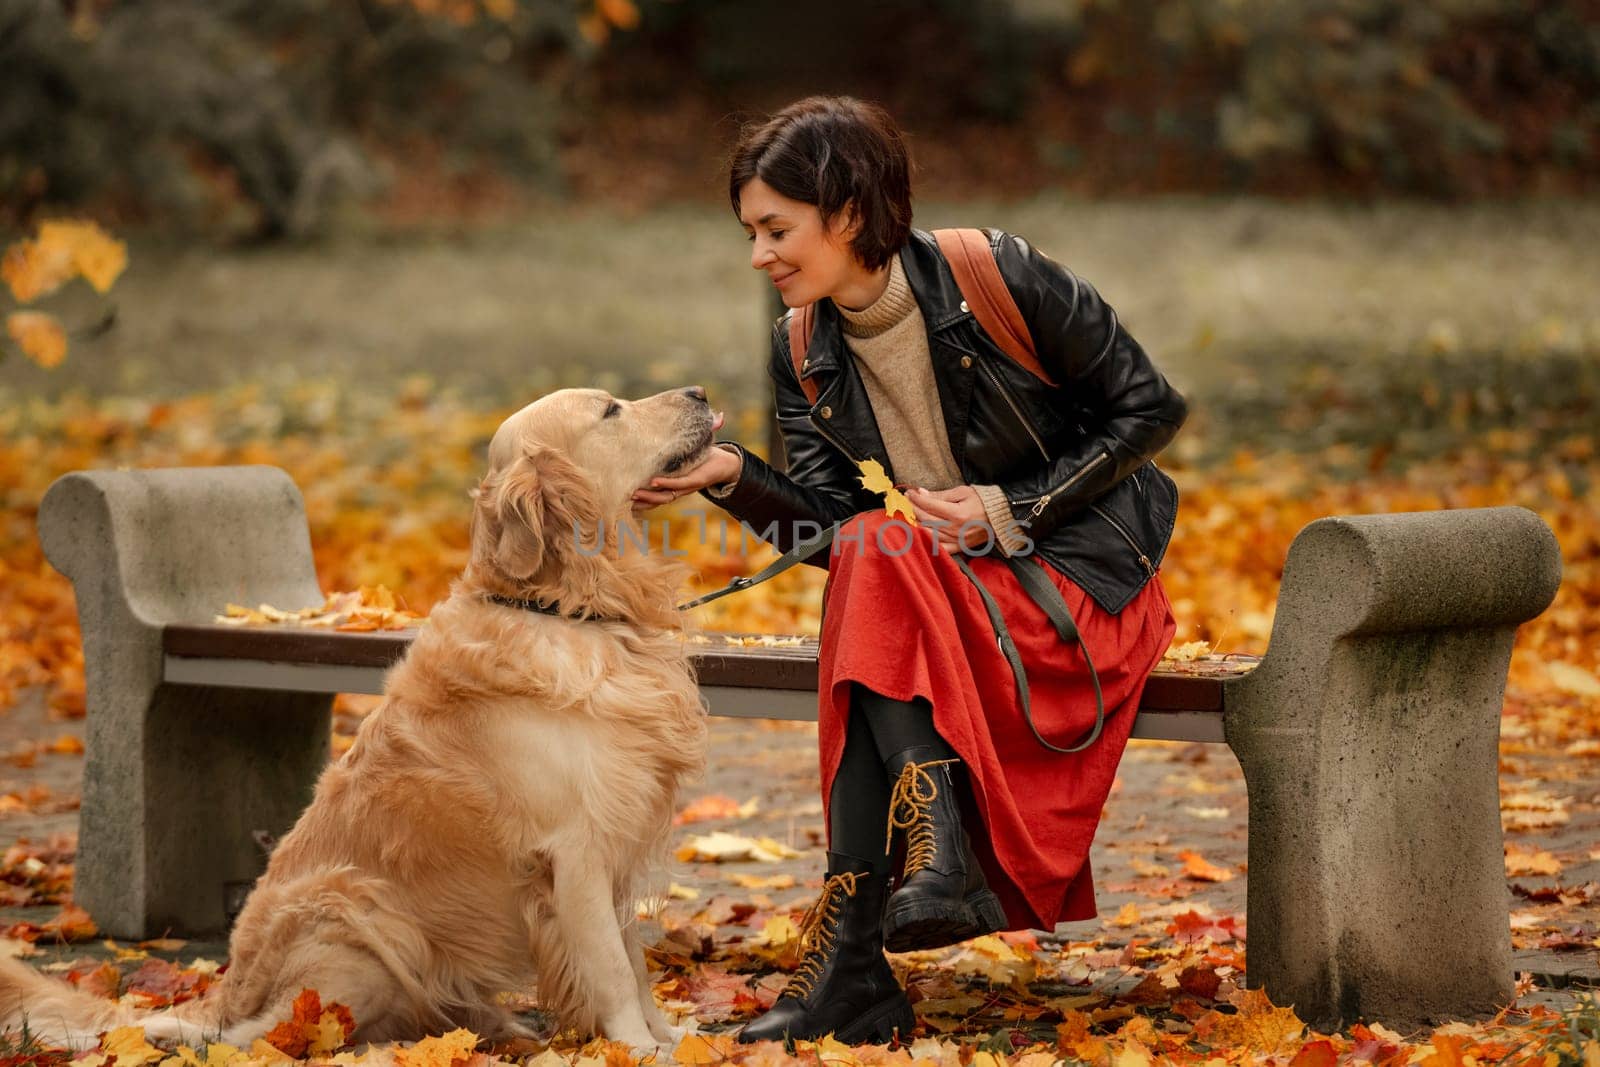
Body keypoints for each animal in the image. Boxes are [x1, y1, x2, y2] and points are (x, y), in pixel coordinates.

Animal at [0, 385, 723, 1049]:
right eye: (610, 411)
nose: (698, 391)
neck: (568, 607)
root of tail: (224, 993)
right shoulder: (574, 850)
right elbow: (613, 970)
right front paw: (640, 1050)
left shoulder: (616, 835)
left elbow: (634, 964)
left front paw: (675, 1039)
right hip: (361, 912)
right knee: (263, 1033)